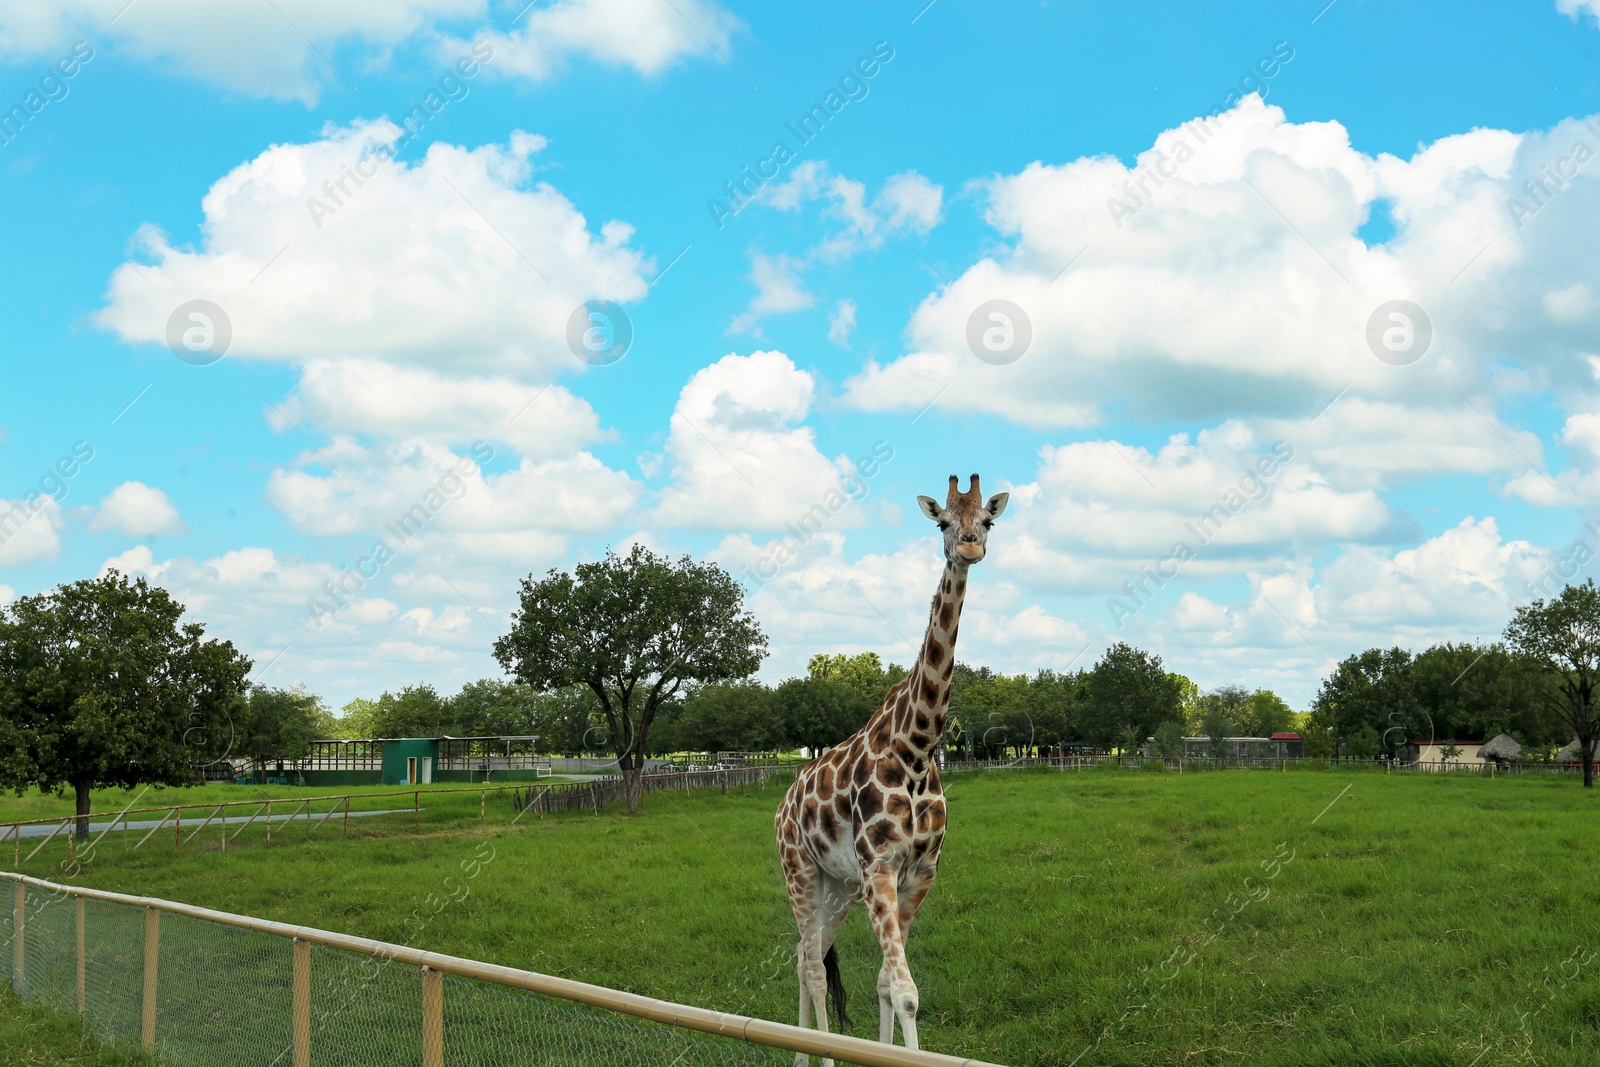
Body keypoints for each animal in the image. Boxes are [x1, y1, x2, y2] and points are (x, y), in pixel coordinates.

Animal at [771, 473, 1004, 1062]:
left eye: (987, 520)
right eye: (942, 521)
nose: (970, 546)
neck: (917, 749)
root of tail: (782, 805)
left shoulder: (920, 871)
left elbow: (884, 983)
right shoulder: (879, 867)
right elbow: (906, 992)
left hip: (837, 885)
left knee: (806, 955)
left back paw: (801, 1051)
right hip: (799, 869)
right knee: (811, 965)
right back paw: (821, 1055)